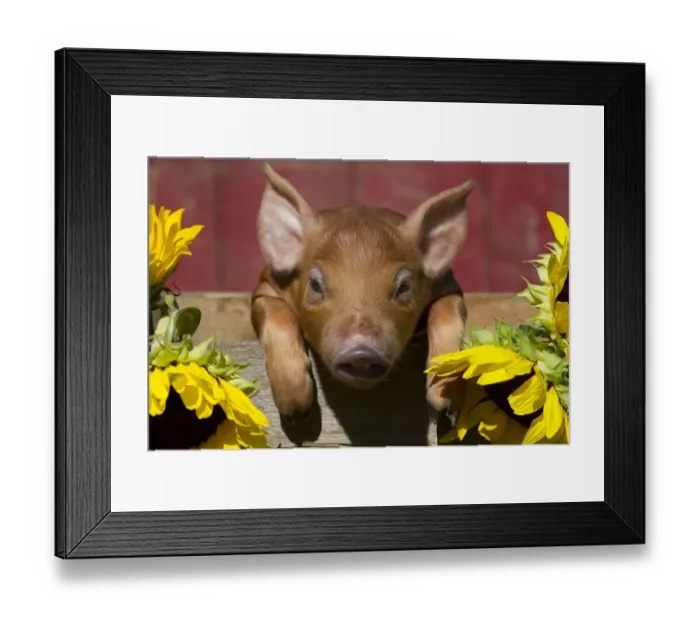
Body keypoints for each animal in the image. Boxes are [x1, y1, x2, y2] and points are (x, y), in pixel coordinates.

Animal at [251, 163, 475, 424]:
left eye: (404, 286)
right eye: (315, 285)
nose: (361, 352)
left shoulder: (449, 287)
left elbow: (446, 311)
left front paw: (444, 406)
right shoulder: (264, 289)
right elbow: (276, 315)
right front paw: (296, 412)